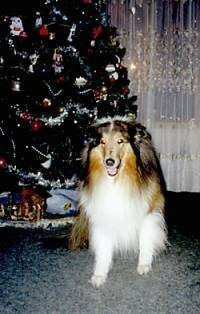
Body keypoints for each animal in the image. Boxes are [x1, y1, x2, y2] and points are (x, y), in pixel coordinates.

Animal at [69, 115, 167, 288]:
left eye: (120, 141)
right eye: (102, 142)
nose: (109, 162)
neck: (117, 180)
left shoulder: (148, 212)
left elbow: (145, 240)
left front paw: (144, 265)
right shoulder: (103, 215)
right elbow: (103, 249)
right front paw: (99, 274)